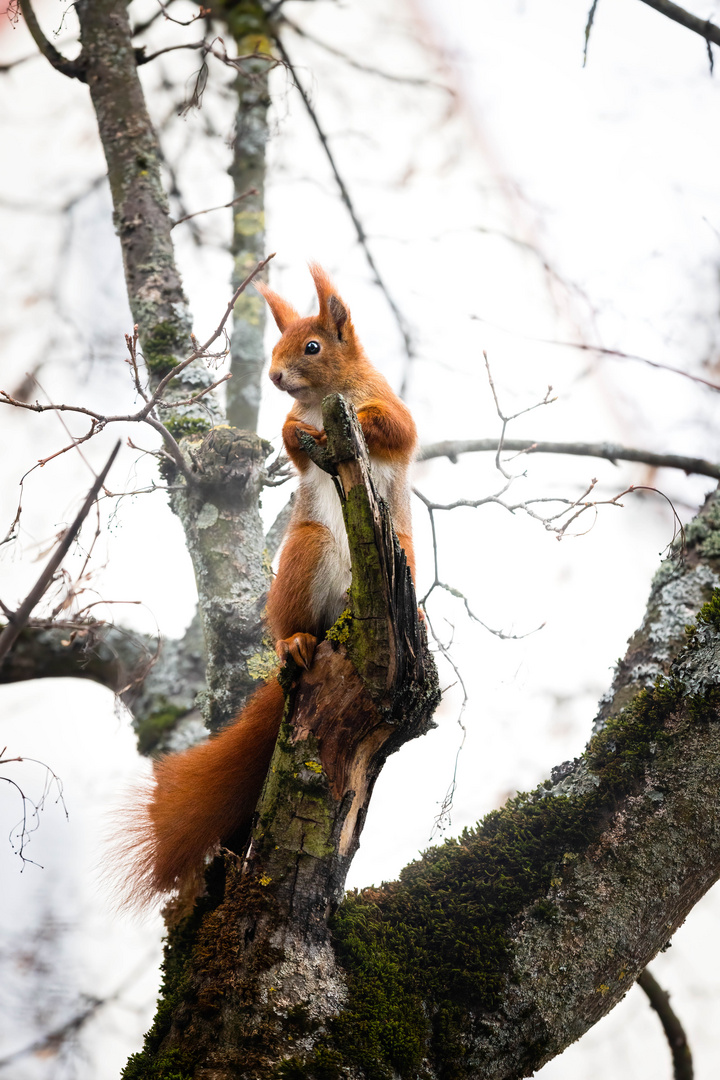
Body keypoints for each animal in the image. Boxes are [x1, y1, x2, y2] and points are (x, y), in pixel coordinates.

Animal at [124, 267, 416, 902]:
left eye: (312, 346)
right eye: (280, 345)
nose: (277, 377)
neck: (325, 402)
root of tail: (338, 623)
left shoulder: (395, 412)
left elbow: (397, 428)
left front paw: (364, 422)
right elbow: (293, 446)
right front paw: (289, 426)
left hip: (401, 554)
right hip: (307, 552)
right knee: (295, 624)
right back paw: (295, 642)